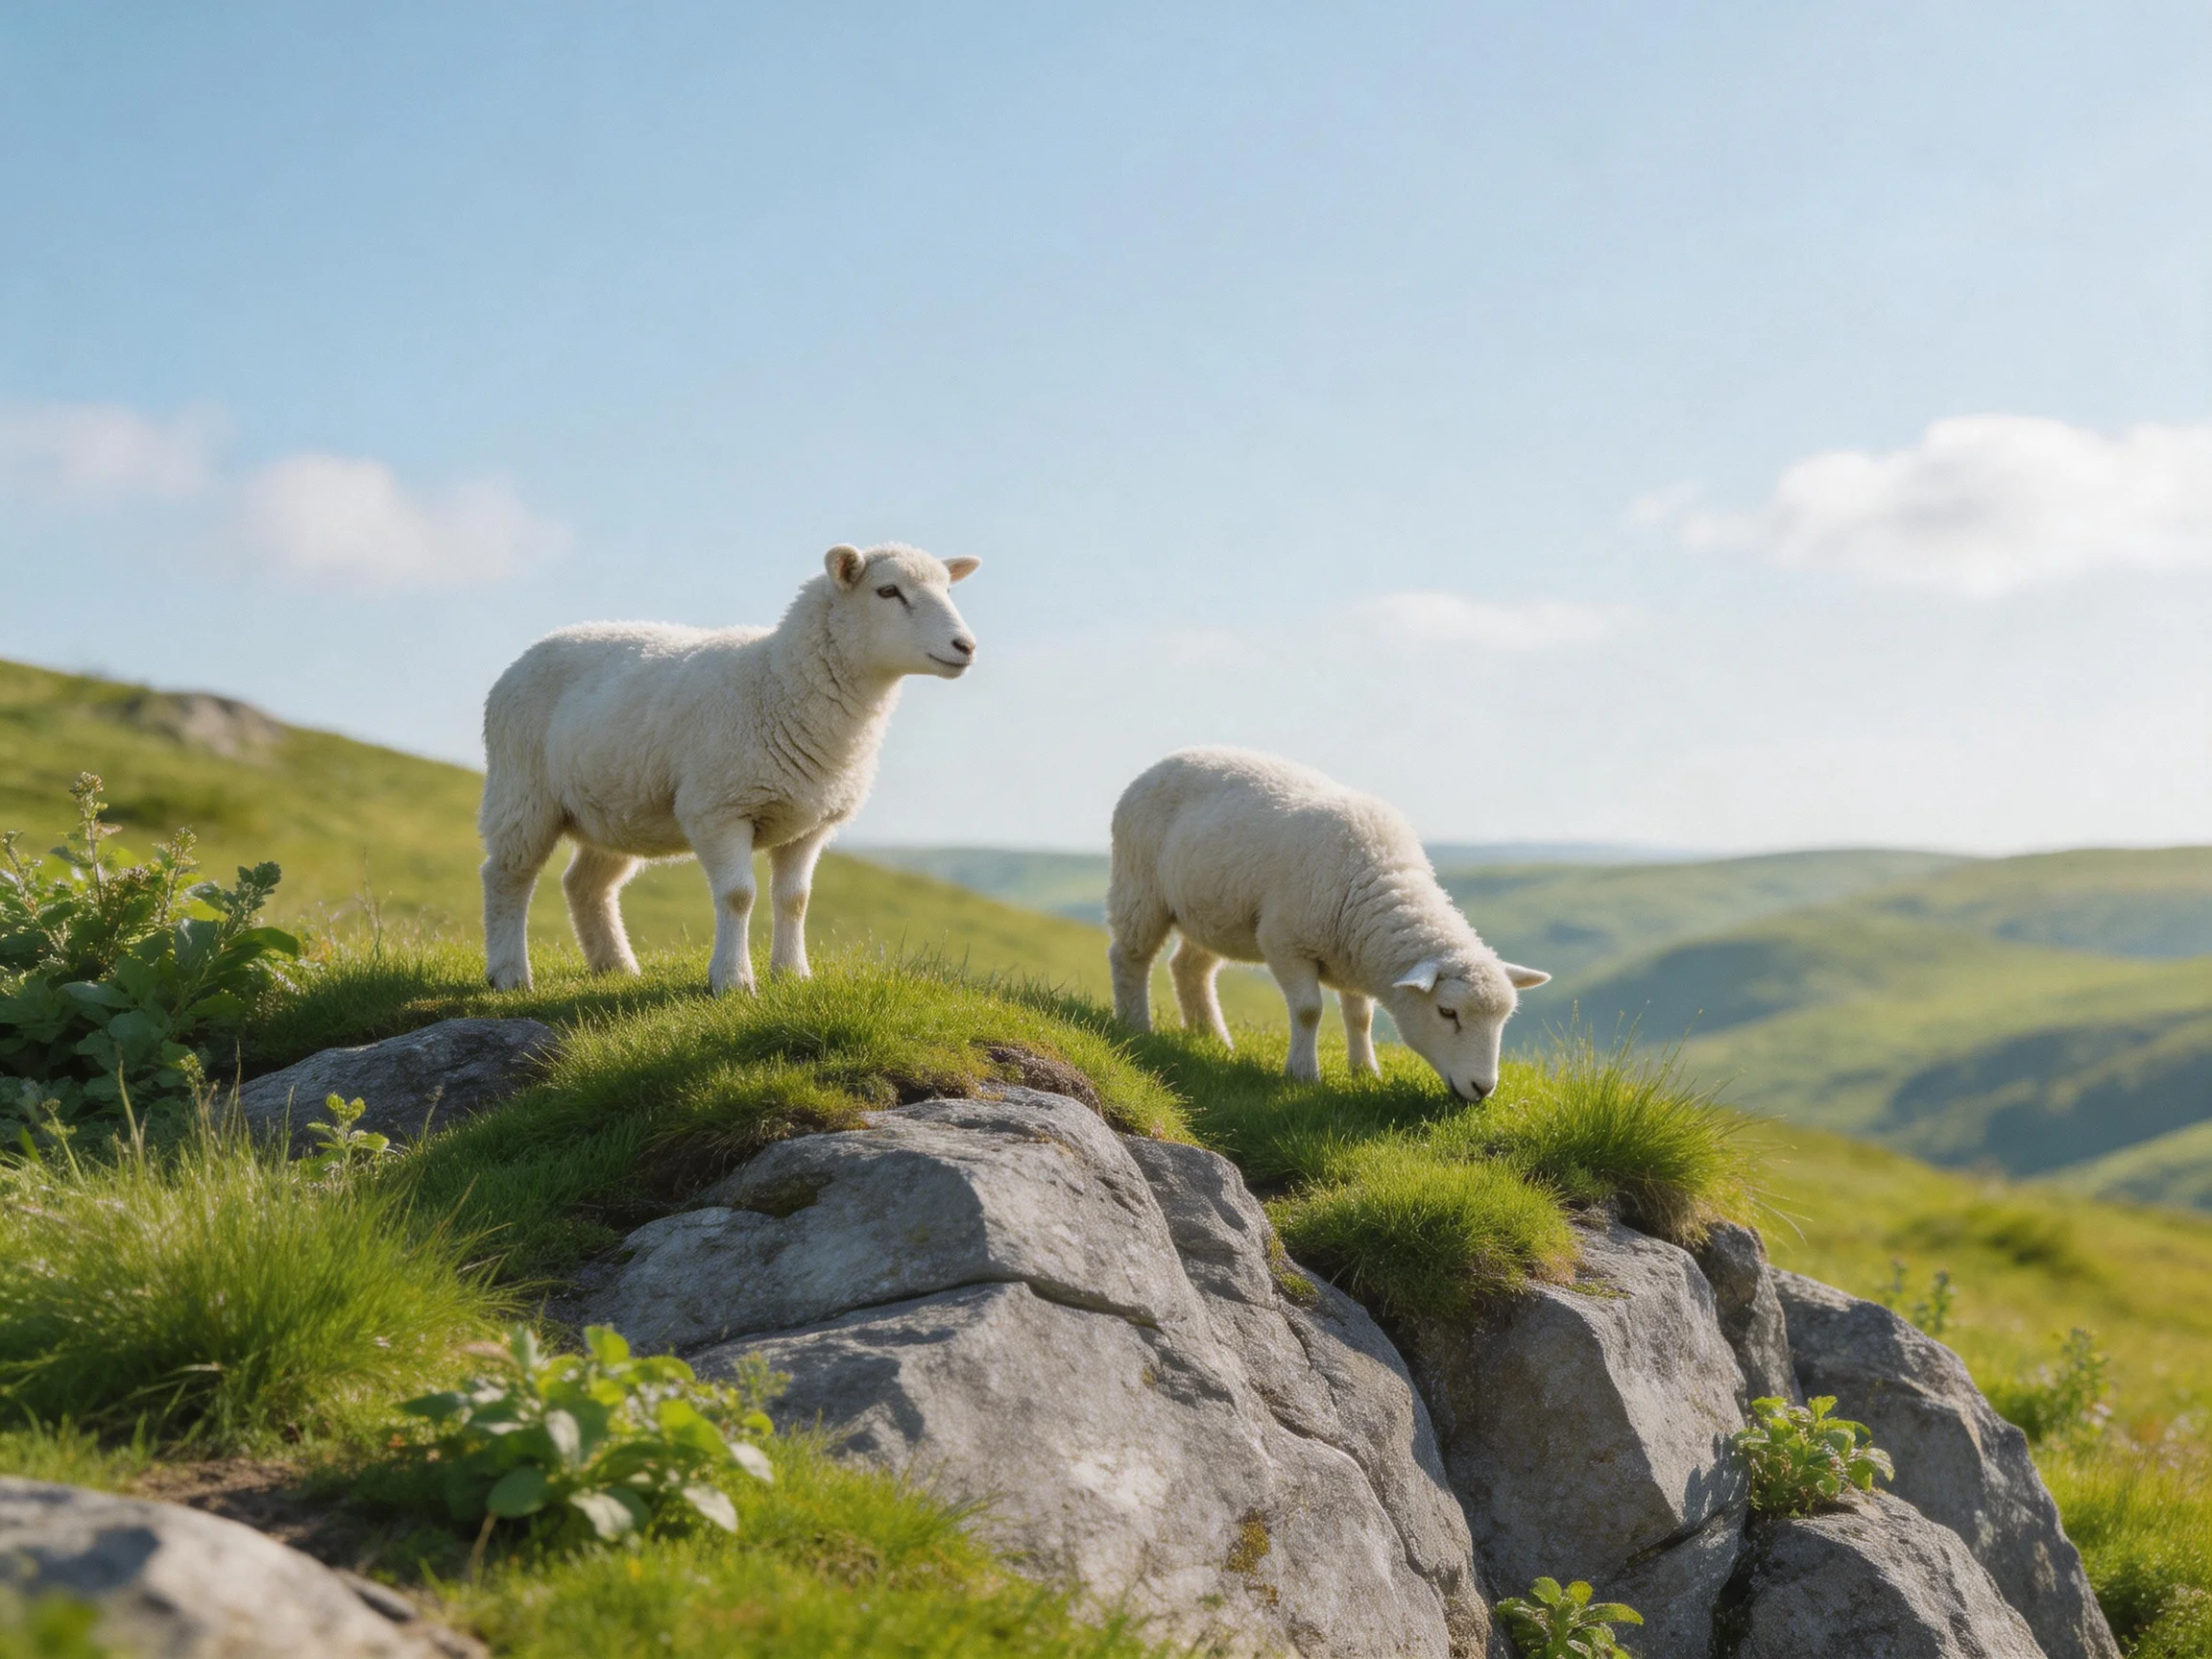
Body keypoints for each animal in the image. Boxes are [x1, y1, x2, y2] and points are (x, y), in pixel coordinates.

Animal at [478, 543, 979, 994]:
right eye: (888, 590)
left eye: (947, 588)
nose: (966, 646)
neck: (778, 683)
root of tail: (537, 647)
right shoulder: (720, 809)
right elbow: (739, 896)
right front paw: (734, 980)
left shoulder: (810, 824)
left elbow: (795, 900)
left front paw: (793, 974)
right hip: (521, 790)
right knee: (507, 875)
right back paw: (510, 974)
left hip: (615, 807)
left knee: (585, 884)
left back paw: (617, 967)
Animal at [1106, 747, 1549, 1100]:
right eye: (1447, 1012)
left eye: (1503, 1019)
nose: (1483, 1088)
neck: (1377, 877)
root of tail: (1169, 759)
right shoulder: (1285, 941)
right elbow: (1308, 1011)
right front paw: (1303, 1074)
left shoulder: (1353, 952)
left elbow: (1359, 1017)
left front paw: (1365, 1072)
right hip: (1140, 885)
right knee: (1129, 956)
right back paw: (1137, 1025)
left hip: (1213, 913)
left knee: (1188, 968)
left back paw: (1211, 1037)